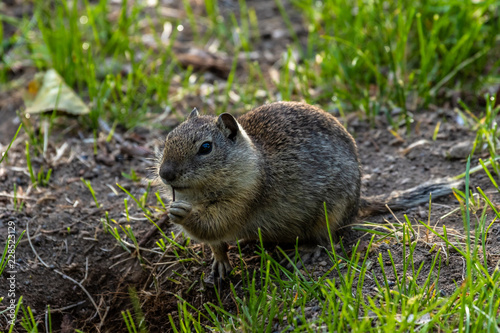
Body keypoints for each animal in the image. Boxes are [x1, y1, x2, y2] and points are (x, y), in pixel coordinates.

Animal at [158, 101, 458, 278]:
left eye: (206, 147)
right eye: (168, 137)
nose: (165, 174)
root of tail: (358, 202)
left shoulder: (241, 201)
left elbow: (214, 225)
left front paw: (182, 213)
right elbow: (216, 242)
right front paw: (220, 263)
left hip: (329, 214)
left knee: (328, 240)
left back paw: (306, 251)